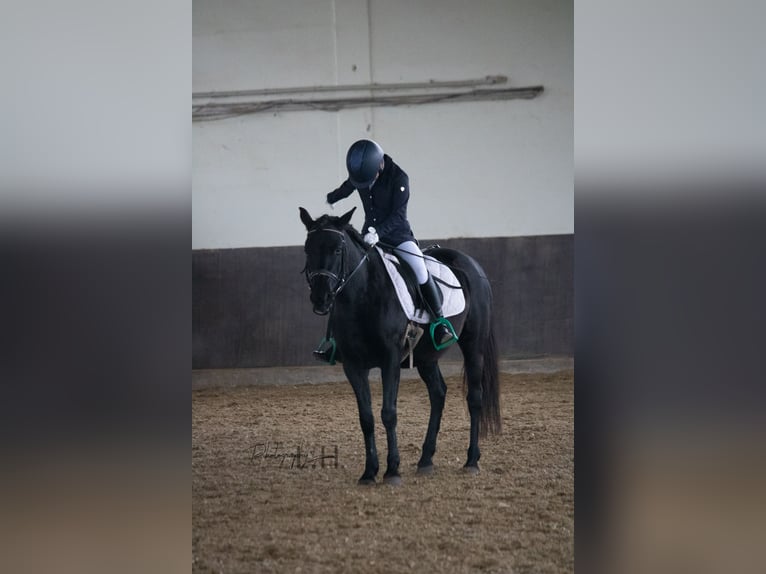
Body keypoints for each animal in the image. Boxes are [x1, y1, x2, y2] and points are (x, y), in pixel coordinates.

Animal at [300, 207, 504, 486]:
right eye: (308, 249)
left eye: (338, 250)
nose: (321, 298)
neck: (363, 295)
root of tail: (471, 264)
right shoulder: (353, 365)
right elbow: (366, 418)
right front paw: (369, 472)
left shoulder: (390, 360)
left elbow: (389, 413)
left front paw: (392, 470)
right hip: (427, 357)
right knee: (438, 394)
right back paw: (426, 459)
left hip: (474, 346)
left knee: (474, 397)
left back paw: (471, 460)